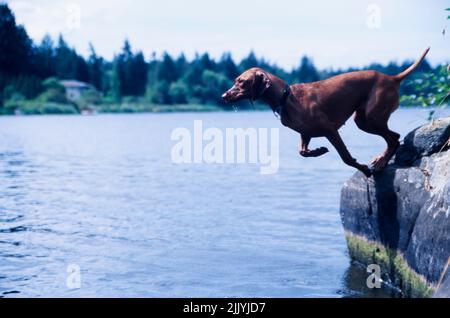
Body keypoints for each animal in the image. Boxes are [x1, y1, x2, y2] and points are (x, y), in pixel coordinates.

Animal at [223, 47, 430, 176]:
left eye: (242, 82)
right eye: (235, 80)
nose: (224, 96)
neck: (286, 98)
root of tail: (392, 77)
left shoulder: (330, 130)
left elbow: (346, 158)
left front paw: (363, 169)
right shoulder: (306, 133)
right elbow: (302, 152)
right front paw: (318, 151)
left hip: (371, 118)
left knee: (394, 138)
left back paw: (380, 162)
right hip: (363, 119)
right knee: (393, 138)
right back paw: (382, 159)